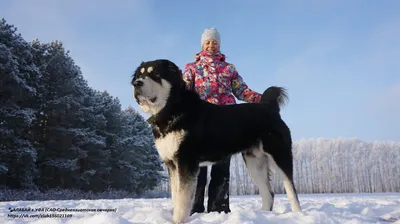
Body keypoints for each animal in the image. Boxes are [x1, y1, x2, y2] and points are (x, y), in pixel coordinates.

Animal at [132, 58, 304, 223]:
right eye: (139, 75)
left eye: (155, 74)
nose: (136, 83)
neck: (172, 108)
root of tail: (269, 107)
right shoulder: (172, 164)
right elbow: (176, 197)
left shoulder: (186, 162)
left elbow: (182, 199)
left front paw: (178, 221)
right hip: (254, 163)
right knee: (269, 193)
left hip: (279, 156)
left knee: (291, 190)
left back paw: (297, 214)